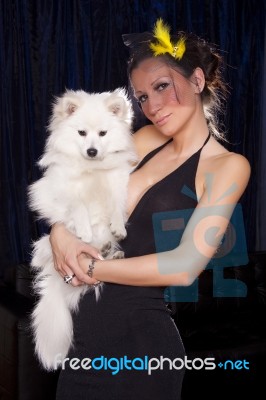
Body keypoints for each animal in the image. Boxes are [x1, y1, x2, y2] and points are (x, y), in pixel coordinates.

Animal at [28, 89, 136, 370]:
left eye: (103, 133)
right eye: (81, 133)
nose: (92, 150)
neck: (91, 168)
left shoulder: (118, 182)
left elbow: (116, 206)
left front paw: (117, 227)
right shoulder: (53, 189)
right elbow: (76, 204)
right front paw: (85, 229)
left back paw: (110, 251)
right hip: (44, 246)